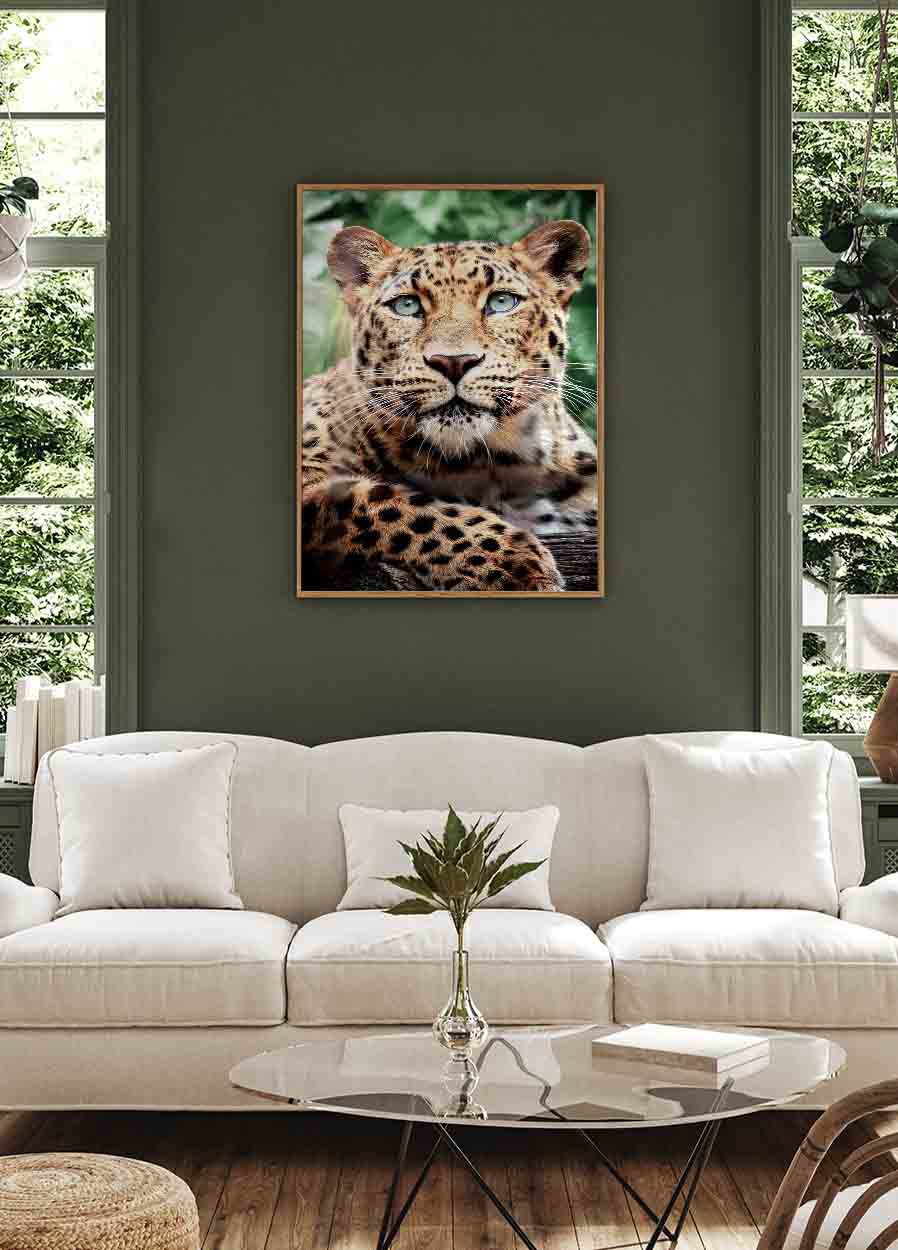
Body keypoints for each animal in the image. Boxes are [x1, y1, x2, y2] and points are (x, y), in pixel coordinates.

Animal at [299, 217, 599, 592]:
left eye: (502, 302)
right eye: (406, 306)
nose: (454, 362)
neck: (496, 464)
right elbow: (398, 506)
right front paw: (513, 564)